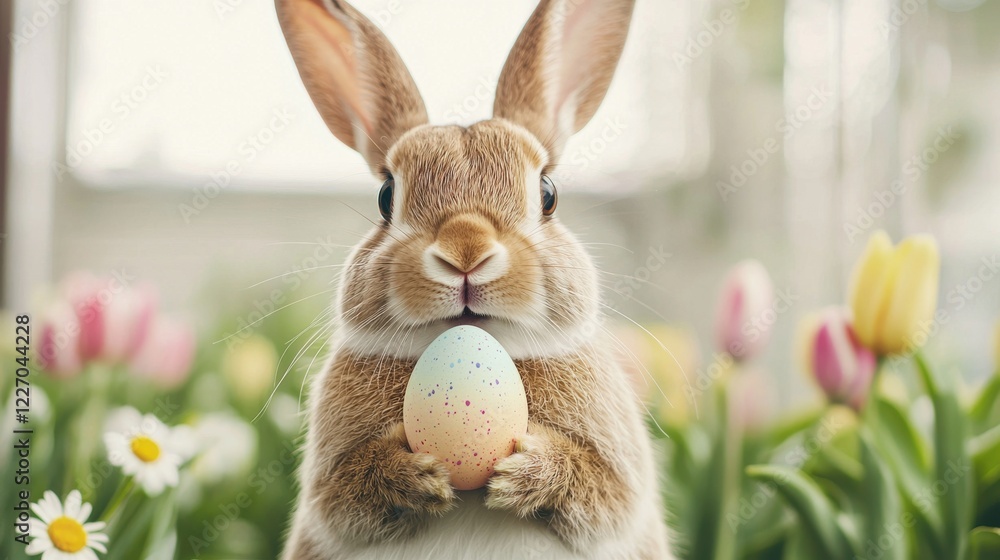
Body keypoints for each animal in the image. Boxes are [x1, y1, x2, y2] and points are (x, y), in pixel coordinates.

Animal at [276, 0, 675, 558]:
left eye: (548, 193)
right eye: (385, 196)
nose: (466, 251)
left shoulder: (617, 475)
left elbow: (602, 492)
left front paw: (524, 473)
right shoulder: (329, 489)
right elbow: (343, 497)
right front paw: (414, 475)